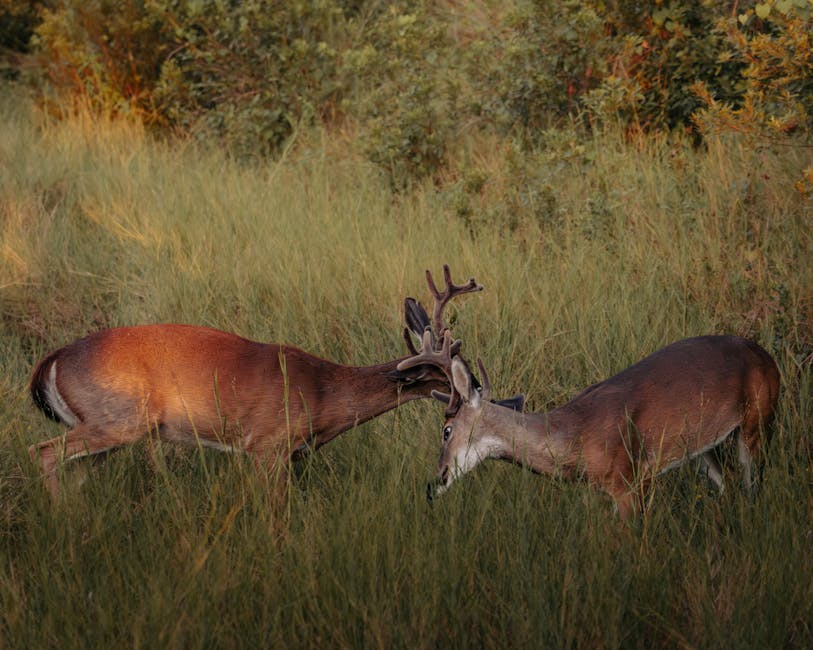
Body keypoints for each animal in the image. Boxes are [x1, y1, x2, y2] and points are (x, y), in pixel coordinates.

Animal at [28, 265, 482, 499]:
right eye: (454, 370)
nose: (480, 390)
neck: (323, 393)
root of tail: (51, 361)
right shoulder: (267, 447)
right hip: (118, 420)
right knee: (42, 451)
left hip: (108, 433)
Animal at [398, 330, 780, 519]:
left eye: (446, 431)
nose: (436, 480)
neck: (574, 435)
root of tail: (766, 354)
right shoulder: (597, 493)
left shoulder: (629, 481)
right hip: (702, 449)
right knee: (726, 484)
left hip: (757, 421)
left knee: (751, 484)